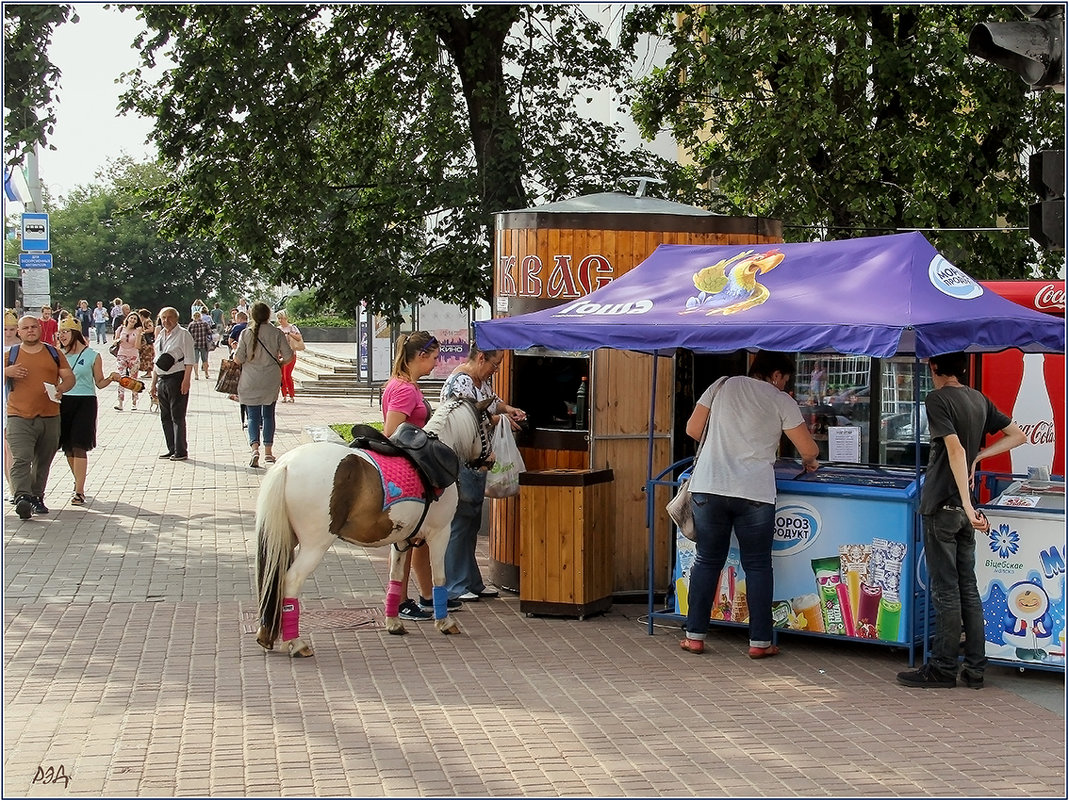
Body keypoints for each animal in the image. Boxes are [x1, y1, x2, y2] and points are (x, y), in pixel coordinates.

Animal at [254, 397, 491, 654]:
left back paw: (266, 635)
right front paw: (445, 622)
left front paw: (394, 623)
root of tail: (286, 465)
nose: (490, 461)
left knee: (272, 581)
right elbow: (439, 577)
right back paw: (296, 643)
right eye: (488, 425)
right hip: (314, 545)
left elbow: (396, 576)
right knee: (290, 581)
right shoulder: (440, 533)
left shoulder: (401, 538)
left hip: (285, 539)